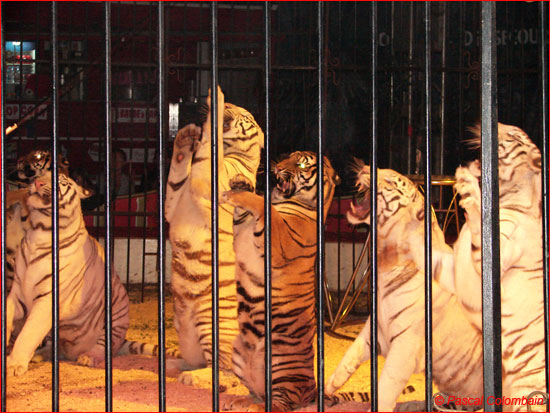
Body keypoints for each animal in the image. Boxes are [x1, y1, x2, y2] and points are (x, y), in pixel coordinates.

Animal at [164, 86, 264, 385]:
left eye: (244, 112)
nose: (230, 103)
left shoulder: (207, 181)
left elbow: (210, 145)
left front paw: (216, 100)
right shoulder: (173, 205)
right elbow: (176, 177)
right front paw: (185, 138)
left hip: (211, 322)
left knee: (227, 372)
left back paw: (195, 378)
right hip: (185, 335)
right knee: (196, 359)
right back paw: (174, 366)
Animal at [220, 151, 340, 411]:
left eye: (302, 163)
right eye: (290, 156)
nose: (277, 168)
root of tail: (313, 388)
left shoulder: (278, 240)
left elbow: (262, 205)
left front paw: (237, 193)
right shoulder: (244, 232)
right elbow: (243, 216)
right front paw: (240, 182)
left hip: (280, 364)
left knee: (282, 402)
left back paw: (256, 406)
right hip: (239, 353)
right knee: (258, 392)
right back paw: (240, 401)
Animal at [325, 161, 483, 412]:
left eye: (390, 181)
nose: (365, 167)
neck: (385, 262)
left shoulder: (405, 345)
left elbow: (386, 386)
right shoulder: (374, 329)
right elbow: (350, 355)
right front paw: (330, 386)